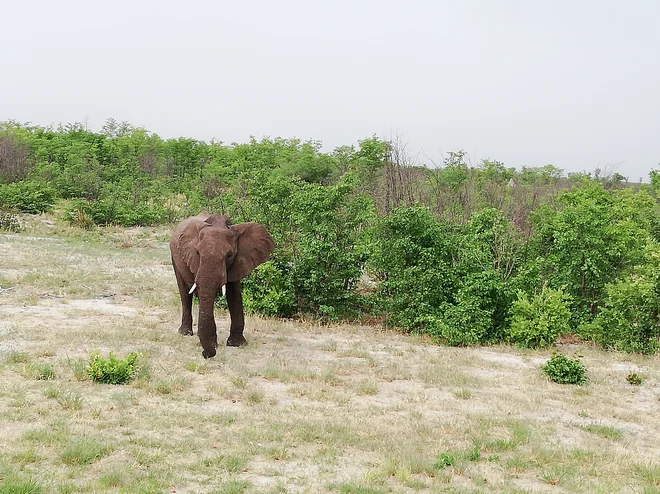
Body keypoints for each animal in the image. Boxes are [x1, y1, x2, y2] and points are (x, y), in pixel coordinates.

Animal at [170, 212, 276, 358]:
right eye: (197, 253)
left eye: (229, 255)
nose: (205, 353)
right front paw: (215, 345)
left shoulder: (238, 262)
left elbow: (234, 295)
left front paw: (237, 344)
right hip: (174, 257)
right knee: (185, 294)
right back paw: (185, 333)